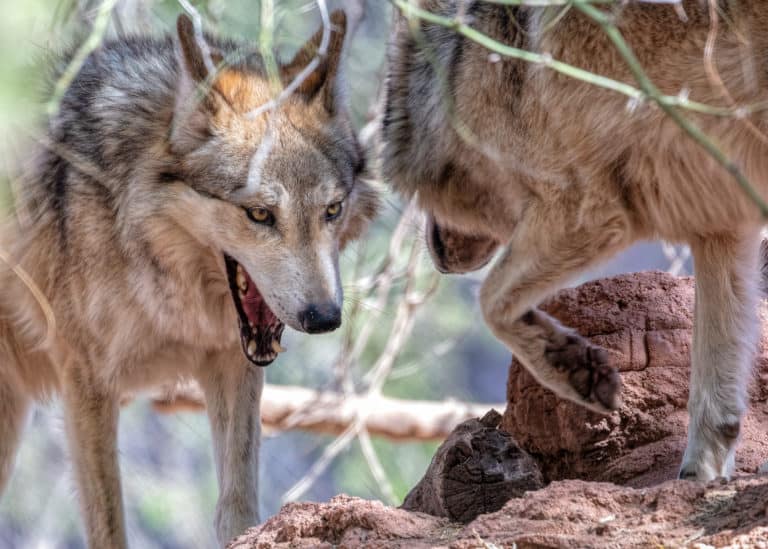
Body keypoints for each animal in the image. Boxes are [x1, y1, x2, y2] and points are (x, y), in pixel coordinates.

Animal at [0, 10, 377, 548]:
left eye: (332, 209)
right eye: (260, 214)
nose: (324, 318)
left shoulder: (232, 362)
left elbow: (237, 508)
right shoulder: (87, 383)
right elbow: (109, 525)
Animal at [381, 0, 768, 483]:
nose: (437, 256)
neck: (459, 68)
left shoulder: (584, 210)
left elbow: (491, 304)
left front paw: (573, 365)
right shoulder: (722, 225)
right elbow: (714, 384)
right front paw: (697, 478)